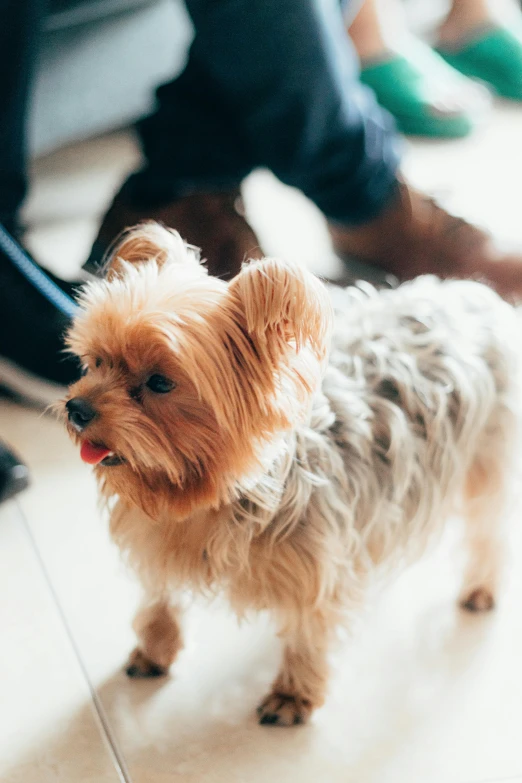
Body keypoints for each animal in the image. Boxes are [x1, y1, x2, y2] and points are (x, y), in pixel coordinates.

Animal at [64, 224, 516, 724]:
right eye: (96, 361)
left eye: (160, 382)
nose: (76, 408)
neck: (202, 495)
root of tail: (474, 294)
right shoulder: (157, 539)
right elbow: (160, 594)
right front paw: (155, 648)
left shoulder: (318, 563)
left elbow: (310, 626)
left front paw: (293, 694)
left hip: (485, 461)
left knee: (488, 530)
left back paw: (481, 588)